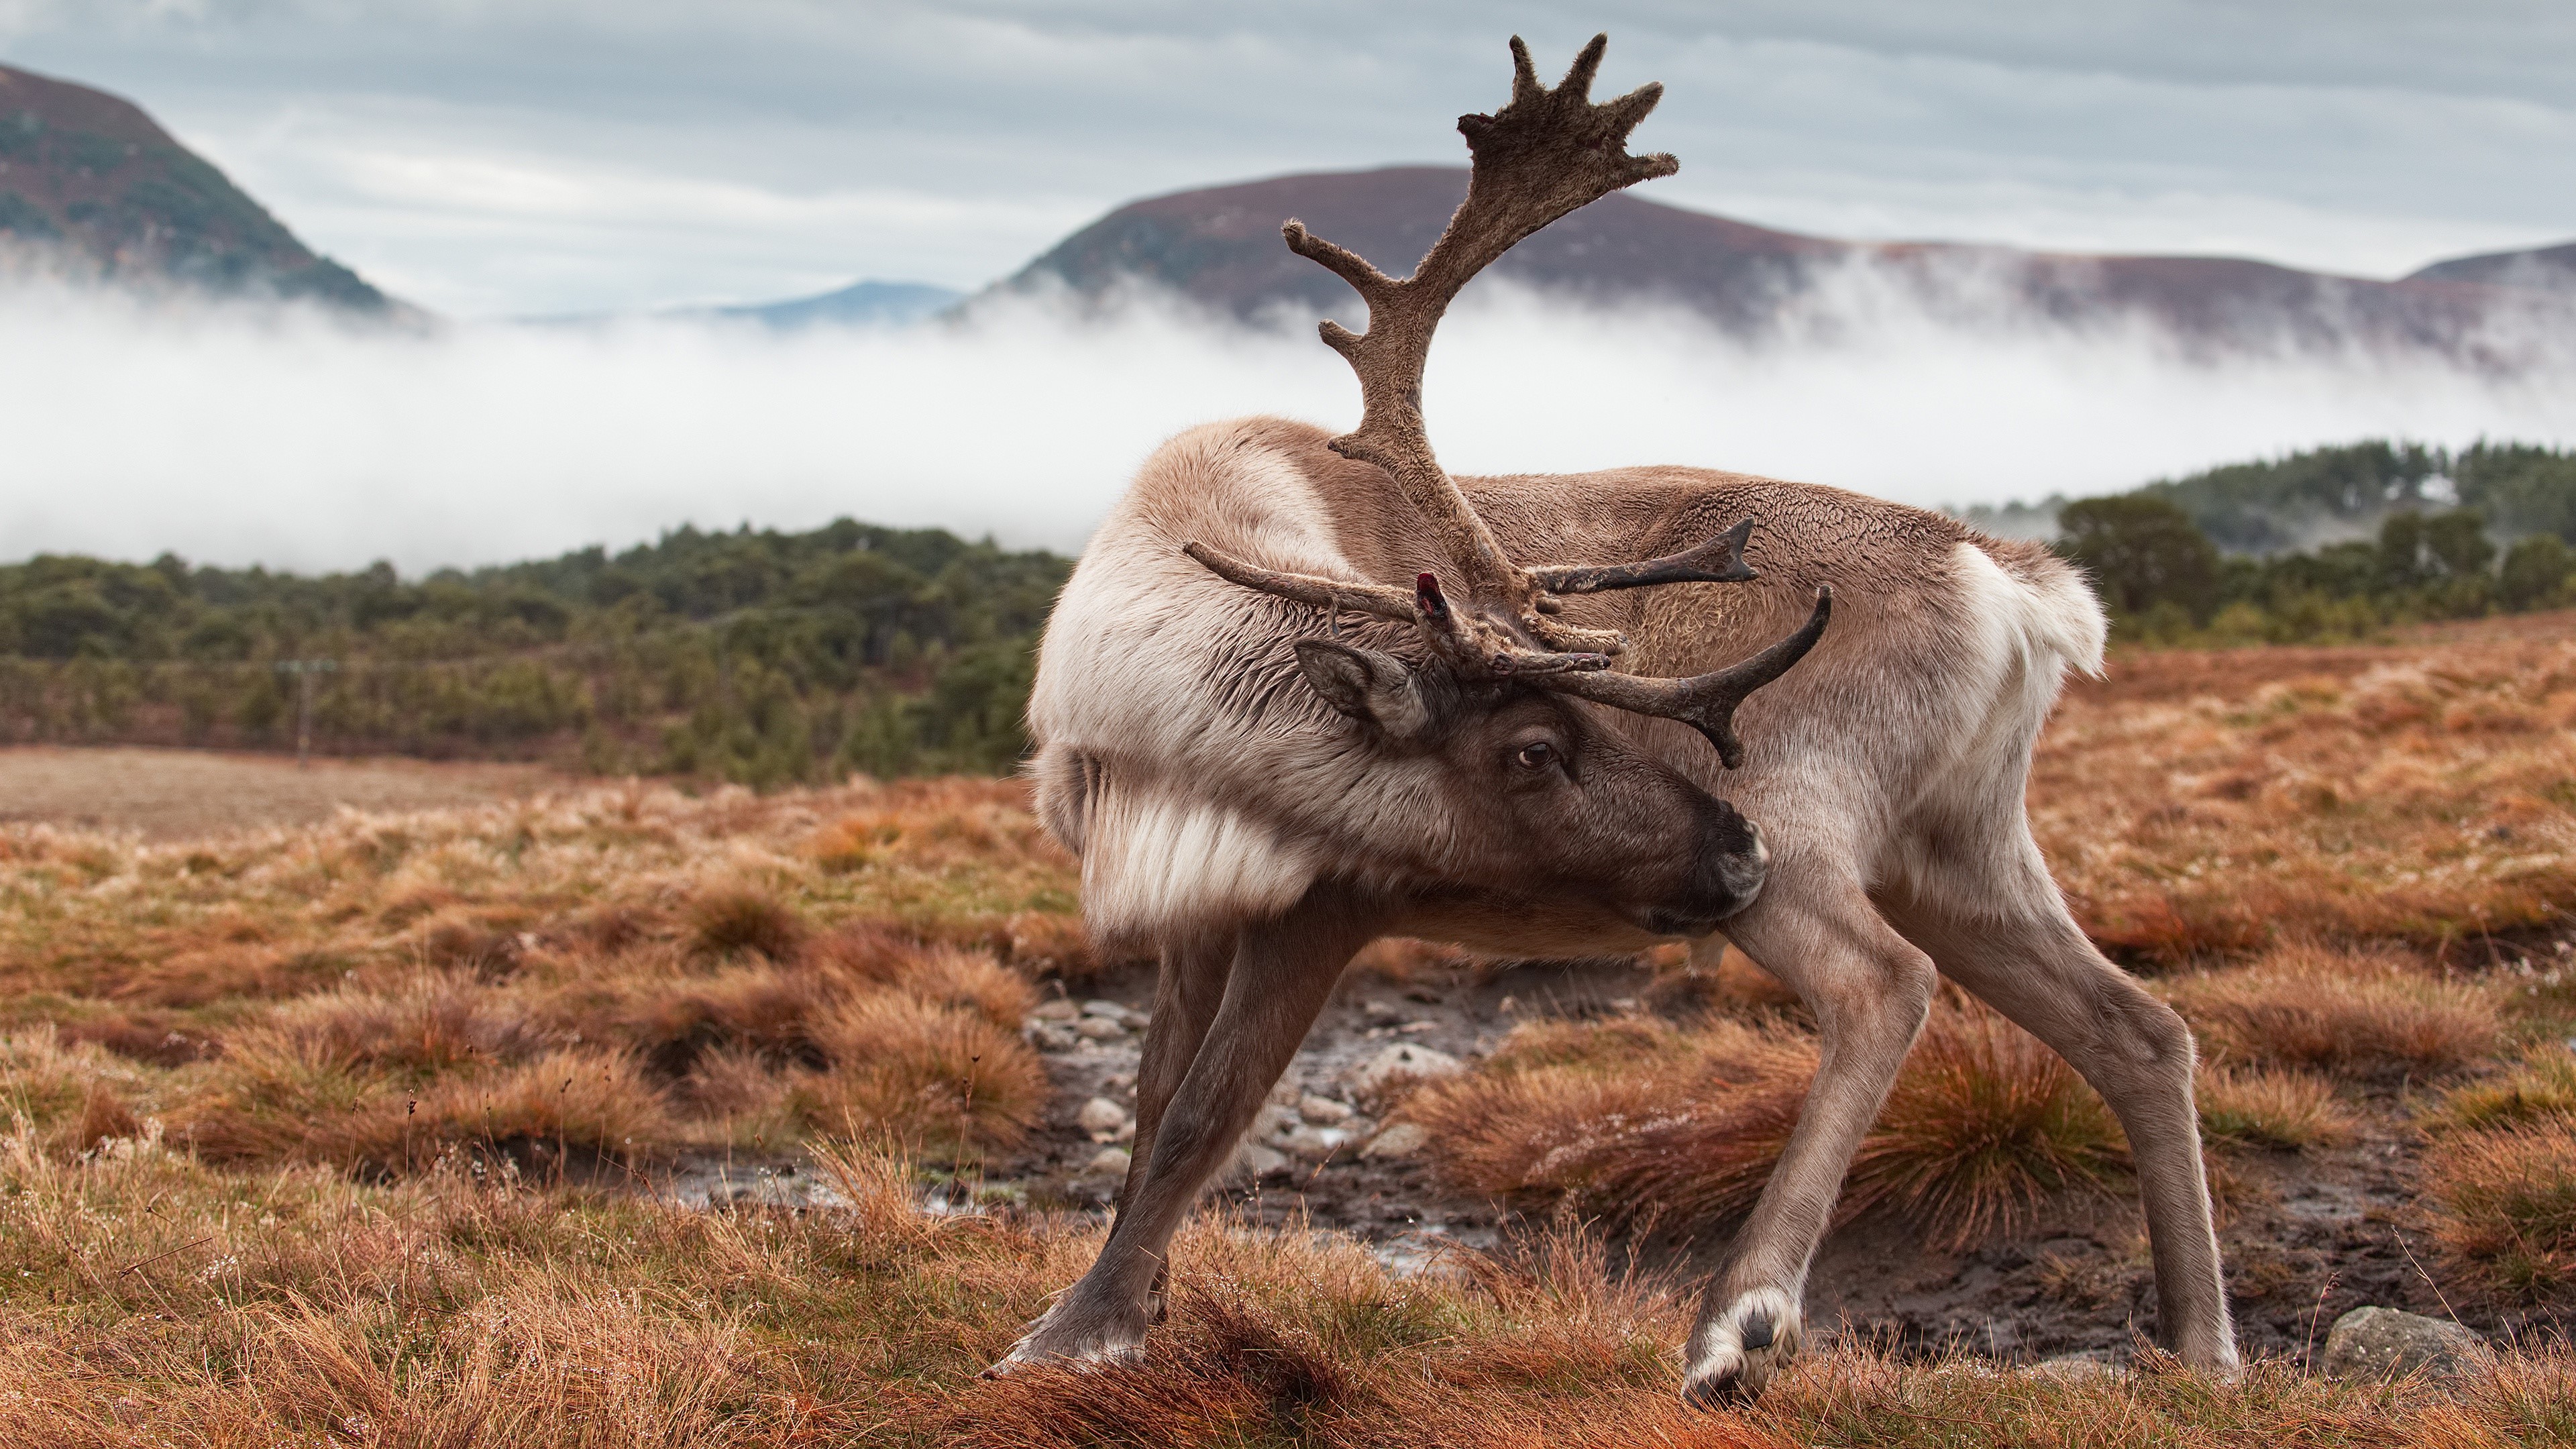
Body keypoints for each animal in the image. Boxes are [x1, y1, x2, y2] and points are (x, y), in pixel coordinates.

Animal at [1004, 34, 2236, 1404]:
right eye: (1536, 748)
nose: (1731, 849)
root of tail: (2009, 584)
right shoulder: (1191, 903)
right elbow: (1152, 1101)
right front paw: (1131, 1305)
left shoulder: (1327, 897)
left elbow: (1200, 1117)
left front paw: (1077, 1333)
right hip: (1960, 846)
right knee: (2140, 1029)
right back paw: (2201, 1350)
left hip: (1807, 820)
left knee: (1882, 987)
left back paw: (1736, 1321)